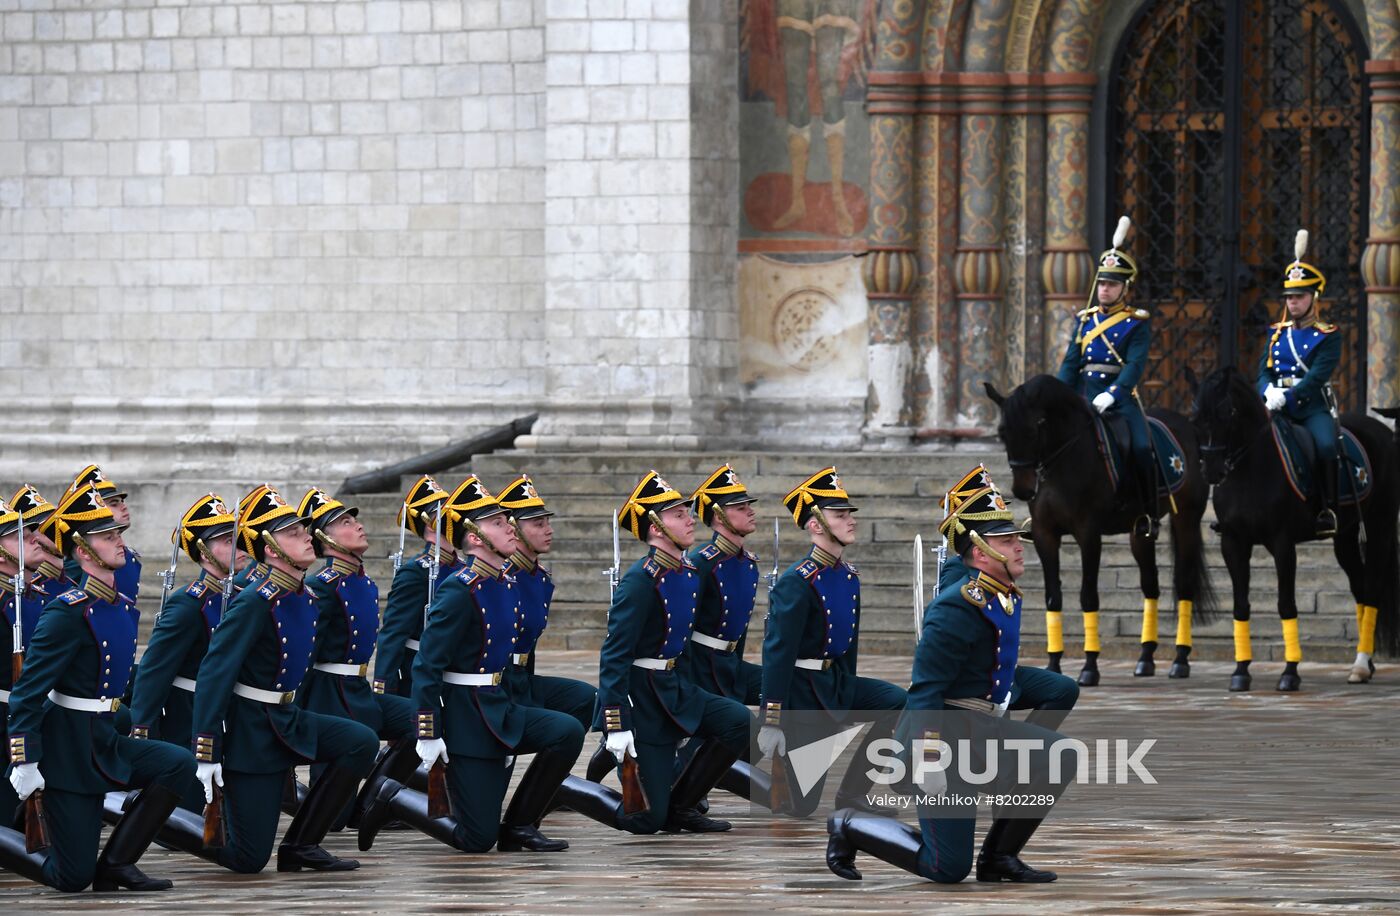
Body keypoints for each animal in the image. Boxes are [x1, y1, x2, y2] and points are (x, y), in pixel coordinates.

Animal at [985, 375, 1215, 689]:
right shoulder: (1045, 535)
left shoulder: (1089, 535)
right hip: (1139, 532)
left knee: (1184, 583)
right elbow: (1053, 597)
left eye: (1035, 427)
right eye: (1002, 432)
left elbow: (1088, 596)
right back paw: (1145, 658)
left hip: (1187, 520)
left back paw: (1180, 659)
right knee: (1150, 584)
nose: (1022, 489)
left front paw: (1090, 666)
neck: (1064, 461)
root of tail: (1188, 426)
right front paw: (1054, 663)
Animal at [1187, 364, 1394, 689]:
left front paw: (1290, 673)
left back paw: (1361, 664)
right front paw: (1240, 672)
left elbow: (1286, 604)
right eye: (1194, 418)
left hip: (1380, 526)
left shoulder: (1282, 543)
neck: (1249, 469)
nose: (1212, 471)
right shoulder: (1232, 542)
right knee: (1360, 587)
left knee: (1372, 588)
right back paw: (1366, 663)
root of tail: (1382, 430)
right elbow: (1240, 605)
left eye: (1227, 413)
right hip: (1345, 536)